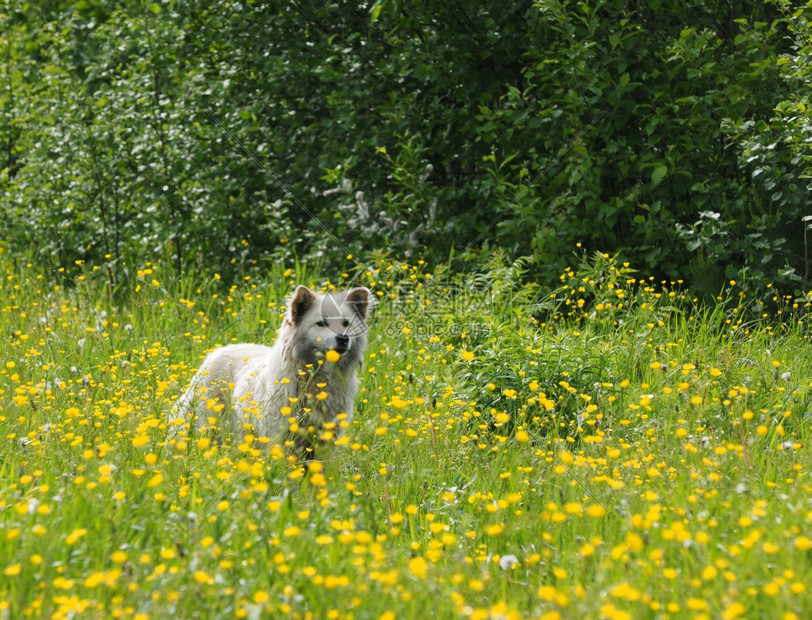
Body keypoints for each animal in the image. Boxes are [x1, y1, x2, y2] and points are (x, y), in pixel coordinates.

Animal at [174, 286, 374, 456]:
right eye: (321, 323)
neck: (317, 380)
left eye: (346, 323)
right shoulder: (280, 436)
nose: (343, 339)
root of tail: (215, 351)